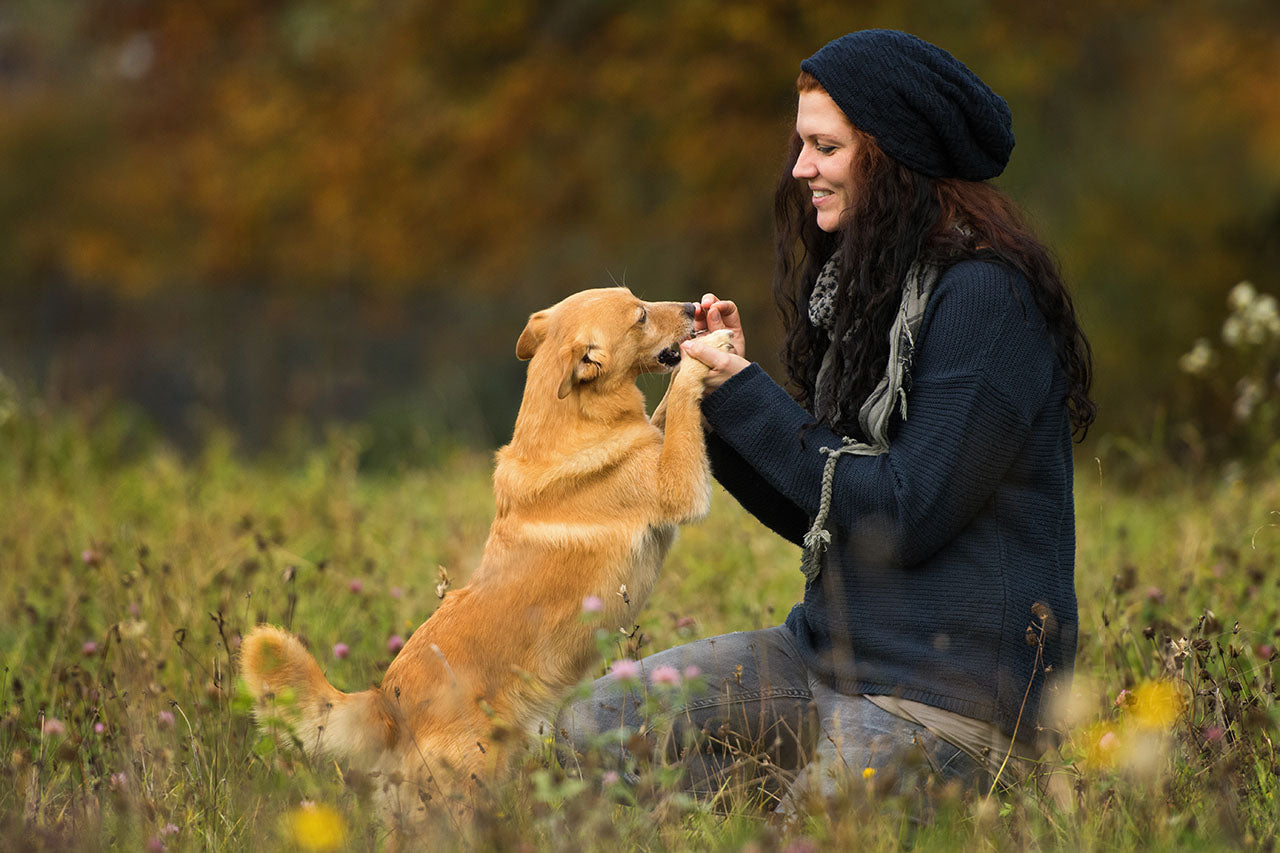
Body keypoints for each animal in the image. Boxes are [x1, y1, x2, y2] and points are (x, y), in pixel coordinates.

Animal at [240, 285, 737, 824]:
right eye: (641, 315)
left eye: (638, 299)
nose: (693, 309)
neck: (573, 420)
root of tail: (386, 703)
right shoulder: (679, 485)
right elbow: (681, 400)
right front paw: (712, 352)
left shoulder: (657, 443)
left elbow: (663, 413)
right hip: (459, 797)